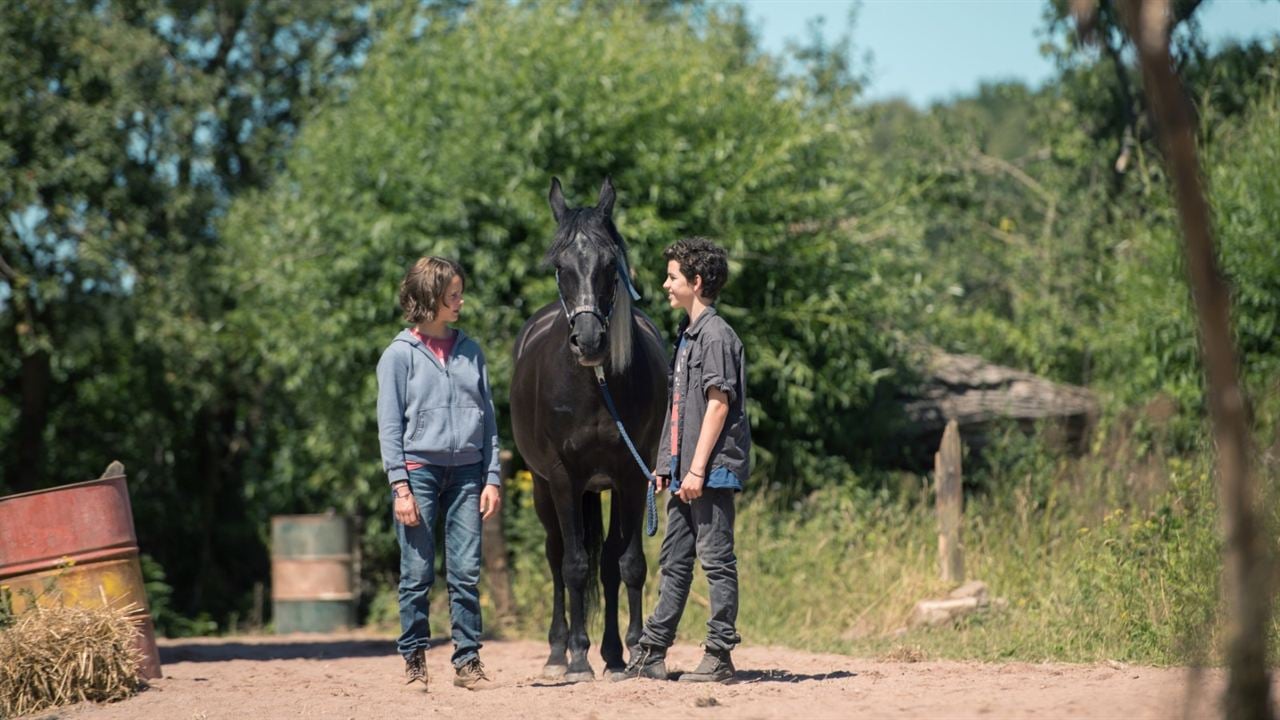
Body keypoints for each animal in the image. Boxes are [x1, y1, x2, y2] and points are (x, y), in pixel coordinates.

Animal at [509, 176, 670, 681]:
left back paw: (614, 653)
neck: (595, 386)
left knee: (609, 565)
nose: (589, 340)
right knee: (558, 558)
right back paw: (558, 652)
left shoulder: (632, 476)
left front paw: (638, 653)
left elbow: (628, 564)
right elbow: (576, 565)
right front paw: (578, 657)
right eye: (560, 267)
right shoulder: (564, 477)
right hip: (546, 489)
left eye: (608, 265)